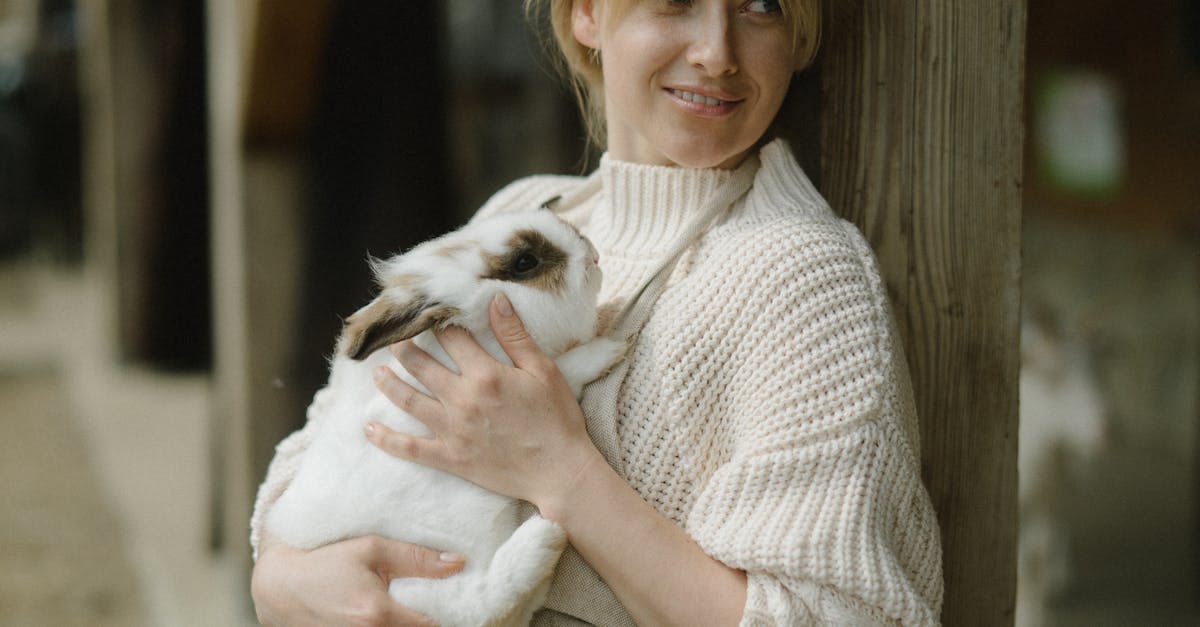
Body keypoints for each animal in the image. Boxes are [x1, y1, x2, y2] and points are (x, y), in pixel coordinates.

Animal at [266, 209, 627, 627]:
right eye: (525, 263)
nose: (592, 253)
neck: (481, 334)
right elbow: (563, 373)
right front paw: (609, 350)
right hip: (424, 578)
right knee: (475, 607)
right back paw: (542, 537)